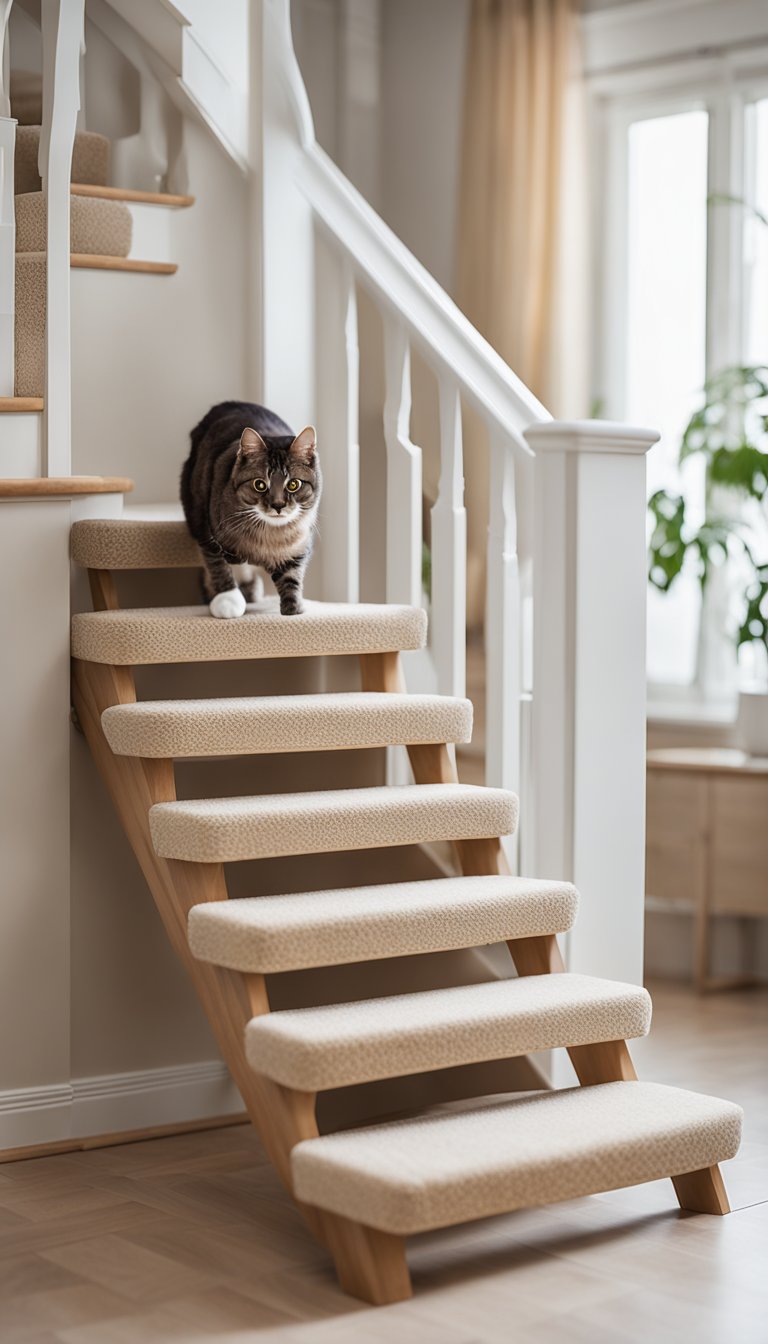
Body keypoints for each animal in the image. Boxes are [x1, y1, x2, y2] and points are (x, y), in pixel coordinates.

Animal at [181, 397, 321, 618]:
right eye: (260, 484)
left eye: (293, 484)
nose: (278, 505)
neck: (268, 536)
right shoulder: (205, 529)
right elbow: (218, 566)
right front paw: (228, 601)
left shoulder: (300, 545)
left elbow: (292, 576)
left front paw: (293, 607)